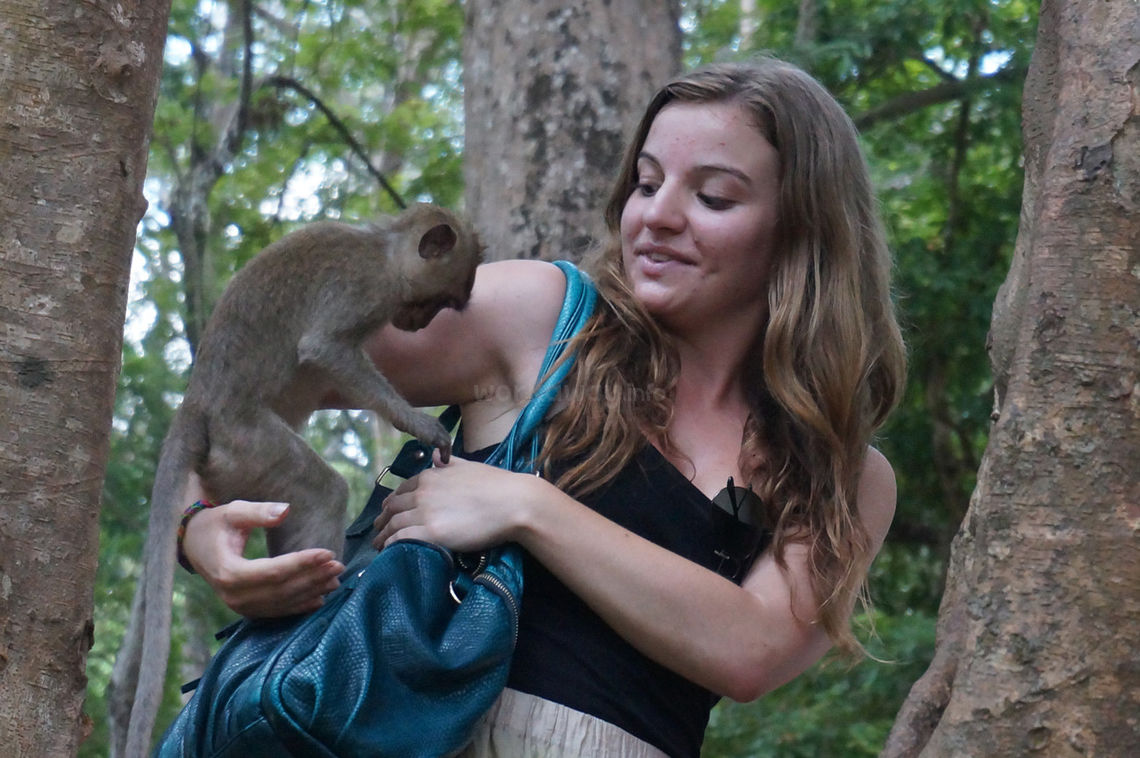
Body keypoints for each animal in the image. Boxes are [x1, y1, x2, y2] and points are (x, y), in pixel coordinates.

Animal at [114, 202, 485, 756]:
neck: (383, 250)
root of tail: (195, 406)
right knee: (323, 489)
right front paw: (421, 426)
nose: (421, 324)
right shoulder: (362, 289)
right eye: (439, 300)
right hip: (247, 443)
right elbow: (325, 349)